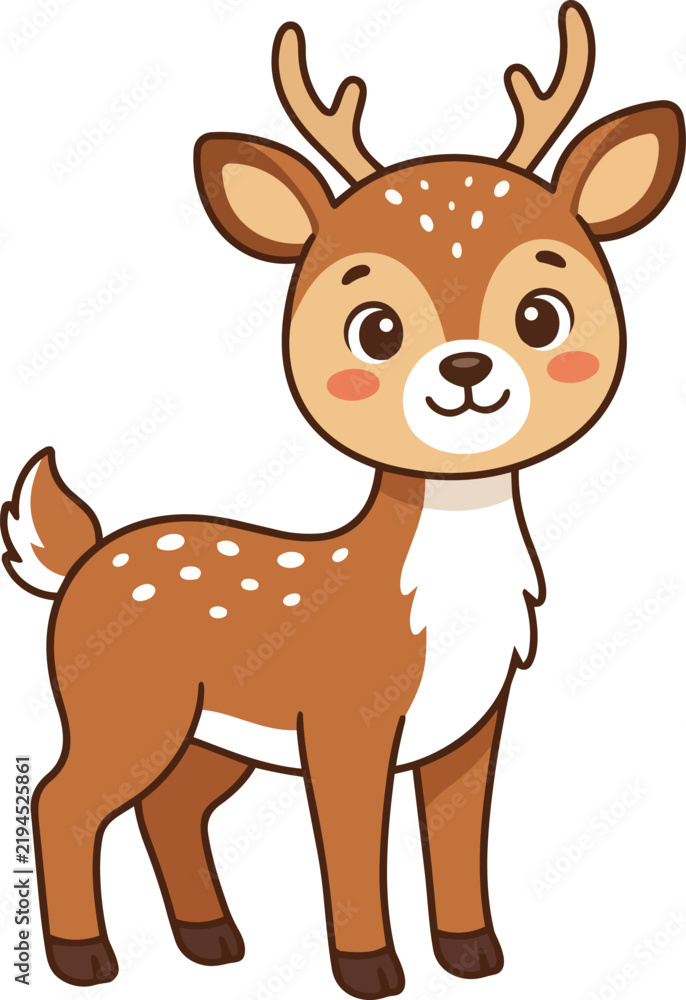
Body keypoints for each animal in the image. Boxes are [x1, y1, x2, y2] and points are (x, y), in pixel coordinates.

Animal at [2, 3, 683, 996]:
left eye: (542, 315)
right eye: (376, 329)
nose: (467, 371)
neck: (436, 610)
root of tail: (80, 559)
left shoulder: (471, 728)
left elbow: (458, 843)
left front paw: (474, 956)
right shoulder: (340, 723)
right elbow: (354, 847)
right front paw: (369, 969)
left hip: (212, 738)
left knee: (170, 809)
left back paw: (213, 940)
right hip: (126, 709)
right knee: (63, 800)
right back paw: (85, 958)